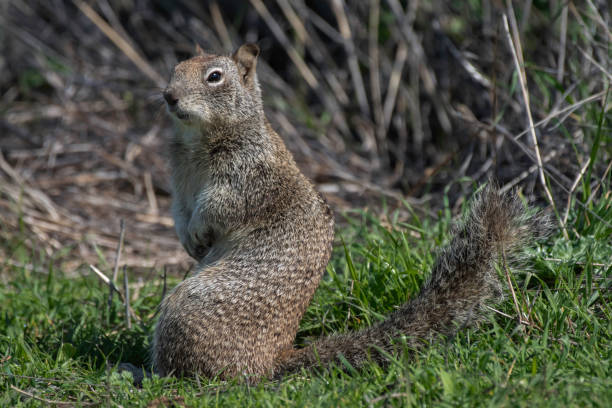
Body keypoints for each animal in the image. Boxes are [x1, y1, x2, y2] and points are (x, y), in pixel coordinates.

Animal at [152, 43, 544, 380]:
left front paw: (199, 230)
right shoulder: (179, 183)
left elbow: (218, 207)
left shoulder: (245, 181)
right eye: (175, 69)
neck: (197, 141)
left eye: (214, 76)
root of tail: (272, 361)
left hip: (186, 307)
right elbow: (179, 210)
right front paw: (188, 239)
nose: (168, 96)